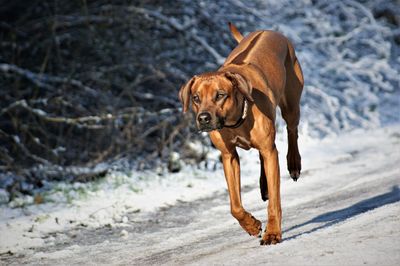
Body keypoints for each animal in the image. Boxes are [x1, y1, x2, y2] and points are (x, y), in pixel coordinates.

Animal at [179, 23, 304, 245]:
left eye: (220, 95)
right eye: (195, 98)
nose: (203, 118)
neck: (235, 120)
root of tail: (269, 31)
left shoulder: (268, 148)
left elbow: (275, 203)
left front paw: (273, 233)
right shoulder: (228, 156)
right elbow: (235, 206)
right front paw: (251, 225)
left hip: (291, 103)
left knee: (292, 130)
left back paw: (293, 163)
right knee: (265, 158)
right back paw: (264, 187)